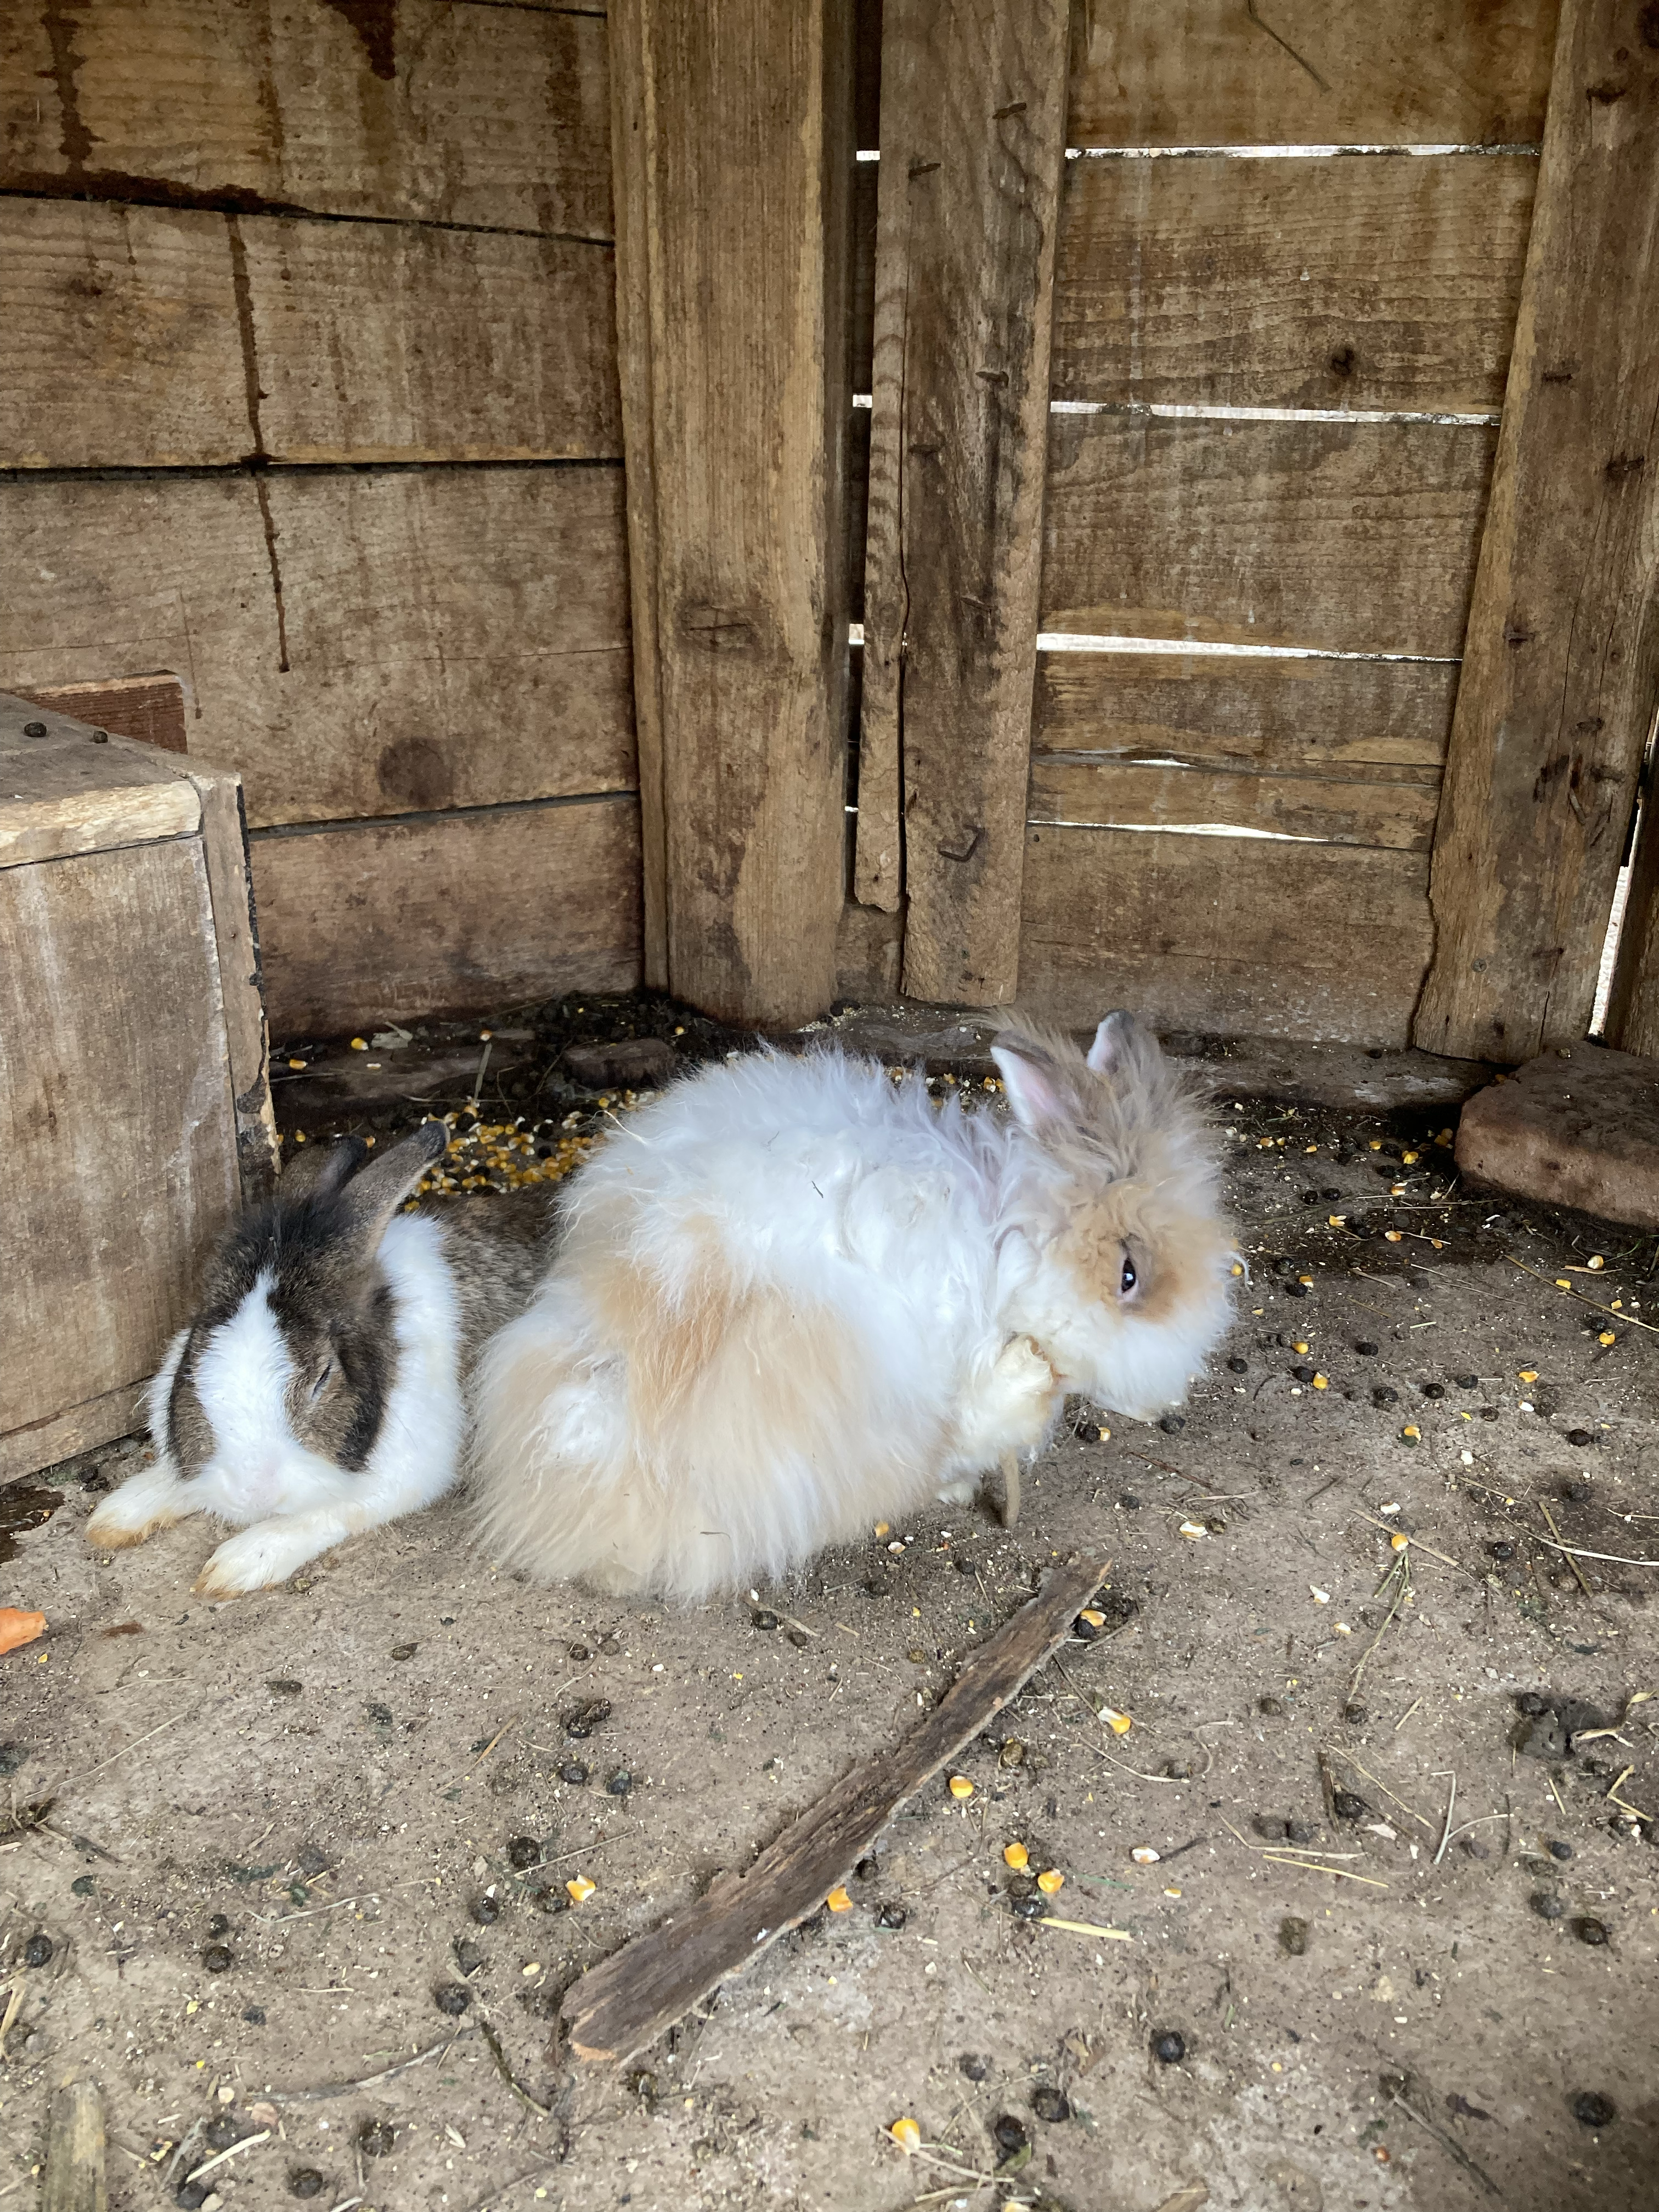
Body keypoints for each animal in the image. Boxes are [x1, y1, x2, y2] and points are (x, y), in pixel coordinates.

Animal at [85, 1121, 560, 1598]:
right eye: (193, 1361)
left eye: (323, 1377)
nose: (253, 1491)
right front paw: (118, 1515)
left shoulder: (404, 1474)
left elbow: (322, 1514)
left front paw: (237, 1565)